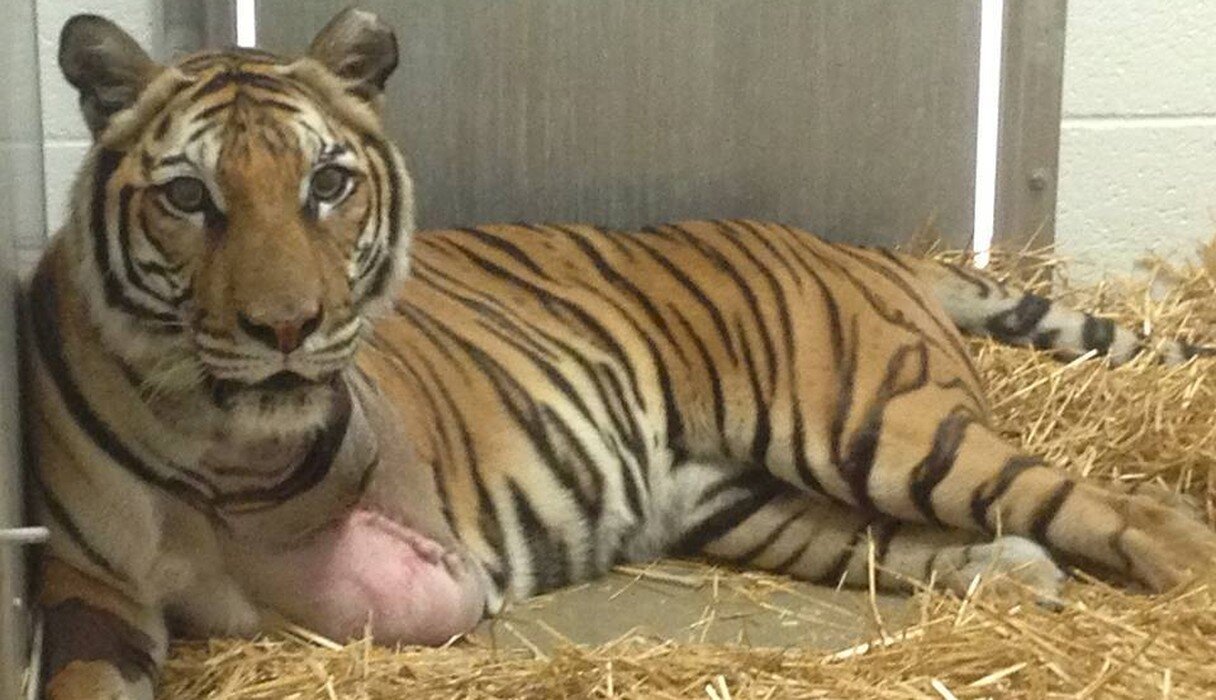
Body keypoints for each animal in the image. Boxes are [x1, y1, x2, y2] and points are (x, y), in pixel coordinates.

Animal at [25, 9, 1216, 700]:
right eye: (189, 197)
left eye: (328, 183)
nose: (287, 326)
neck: (212, 435)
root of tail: (870, 252)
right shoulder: (88, 585)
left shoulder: (417, 564)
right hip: (749, 500)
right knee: (909, 541)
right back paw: (1014, 574)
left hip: (870, 421)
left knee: (1120, 505)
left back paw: (1183, 578)